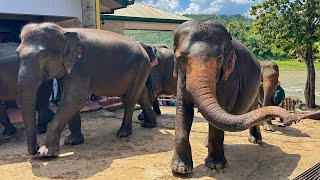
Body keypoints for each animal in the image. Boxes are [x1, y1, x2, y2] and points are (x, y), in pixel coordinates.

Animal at [16, 22, 157, 156]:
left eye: (44, 55)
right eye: (17, 54)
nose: (36, 149)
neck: (63, 30)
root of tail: (142, 48)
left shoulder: (81, 66)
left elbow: (76, 99)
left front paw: (46, 153)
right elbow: (68, 99)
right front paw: (72, 141)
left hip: (141, 66)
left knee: (129, 99)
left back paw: (123, 133)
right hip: (142, 69)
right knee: (141, 96)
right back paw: (149, 125)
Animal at [170, 20, 296, 174]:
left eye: (219, 59)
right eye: (181, 58)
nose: (289, 119)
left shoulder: (231, 76)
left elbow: (222, 107)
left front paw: (216, 166)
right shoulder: (181, 77)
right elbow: (183, 109)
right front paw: (180, 169)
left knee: (251, 108)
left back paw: (256, 140)